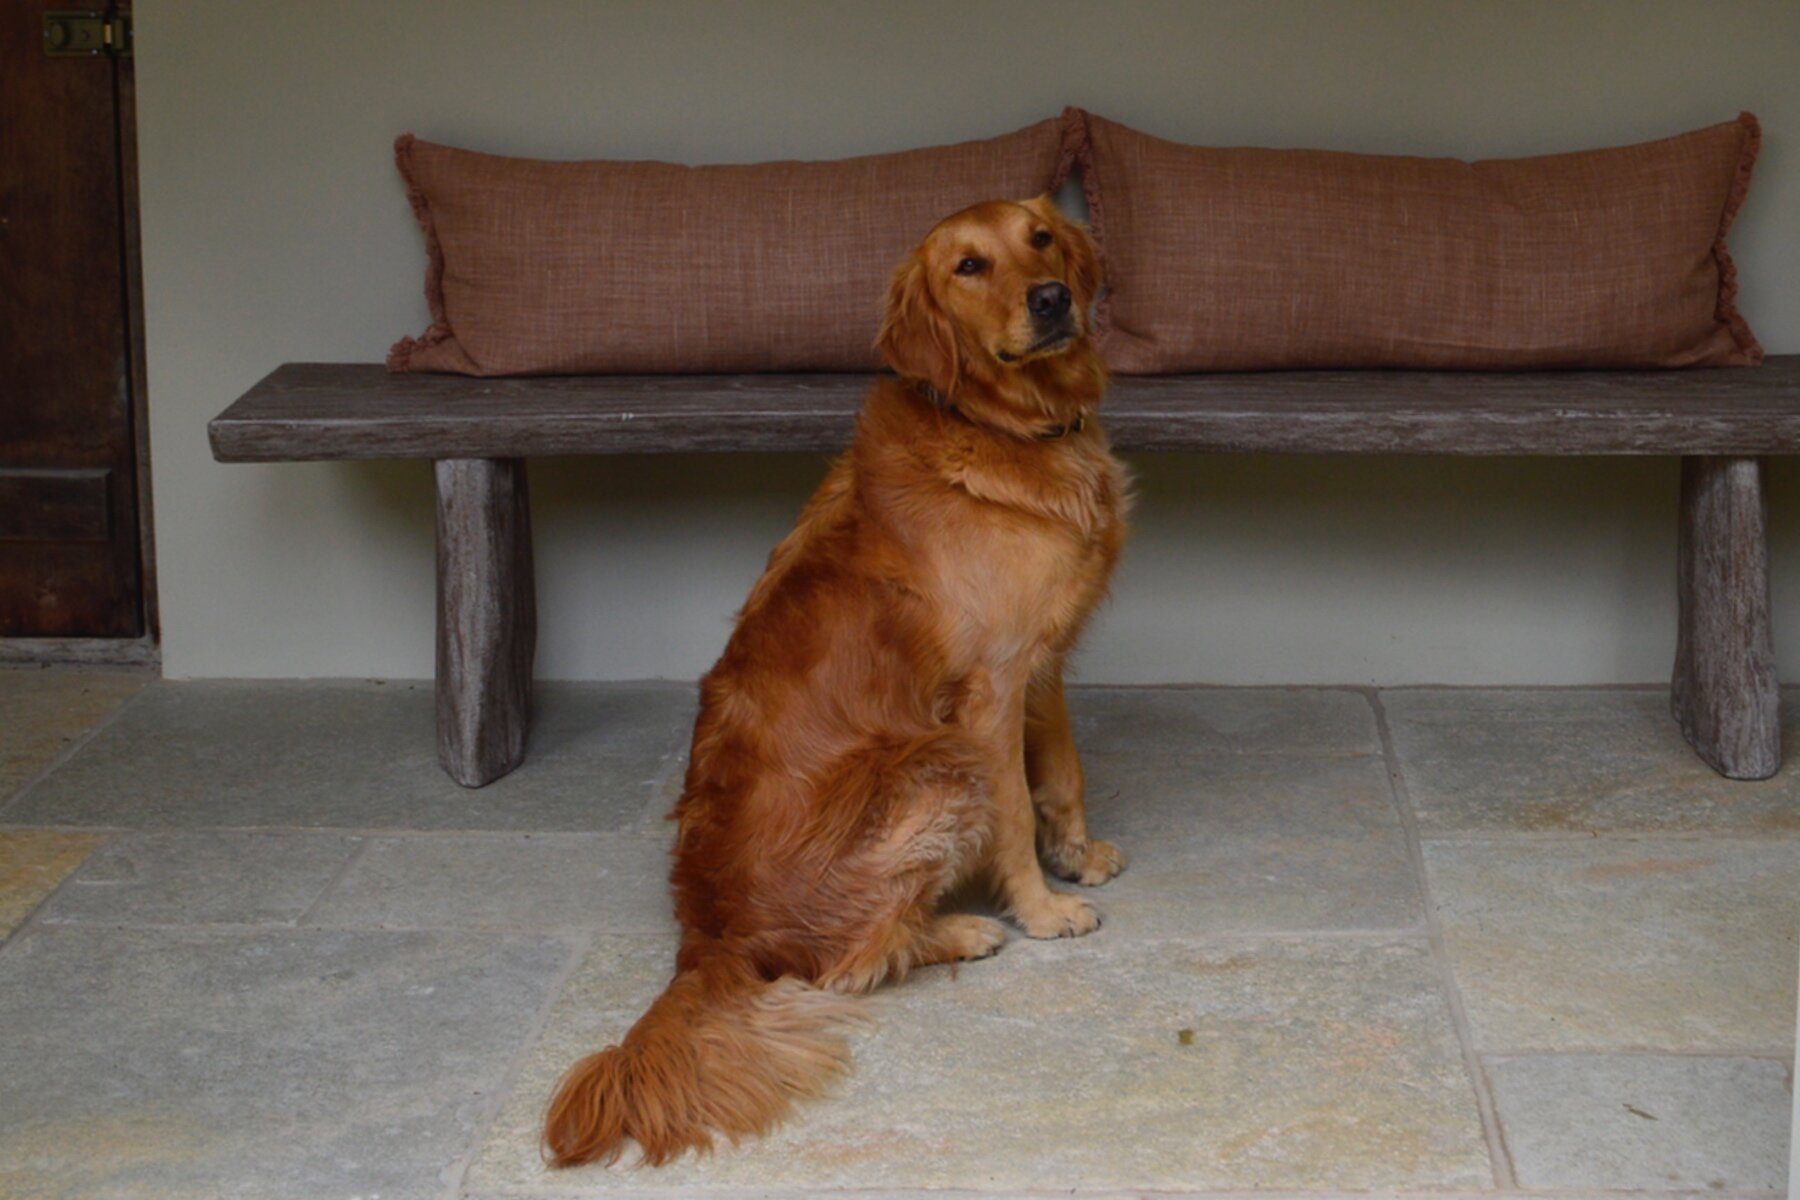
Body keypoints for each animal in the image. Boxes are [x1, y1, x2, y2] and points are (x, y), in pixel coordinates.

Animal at [536, 199, 1123, 1173]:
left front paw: (1078, 854)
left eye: (1039, 239)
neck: (1006, 424)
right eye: (969, 266)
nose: (1049, 299)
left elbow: (1065, 772)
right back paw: (960, 930)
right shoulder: (991, 690)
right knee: (847, 964)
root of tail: (707, 935)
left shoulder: (1044, 658)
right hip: (934, 765)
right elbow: (1013, 811)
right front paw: (1043, 907)